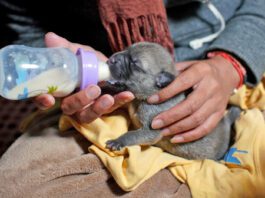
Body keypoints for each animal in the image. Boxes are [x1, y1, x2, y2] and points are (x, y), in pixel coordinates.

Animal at [103, 41, 239, 159]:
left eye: (134, 64)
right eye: (126, 48)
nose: (111, 59)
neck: (144, 98)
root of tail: (226, 121)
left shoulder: (151, 129)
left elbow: (133, 135)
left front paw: (118, 141)